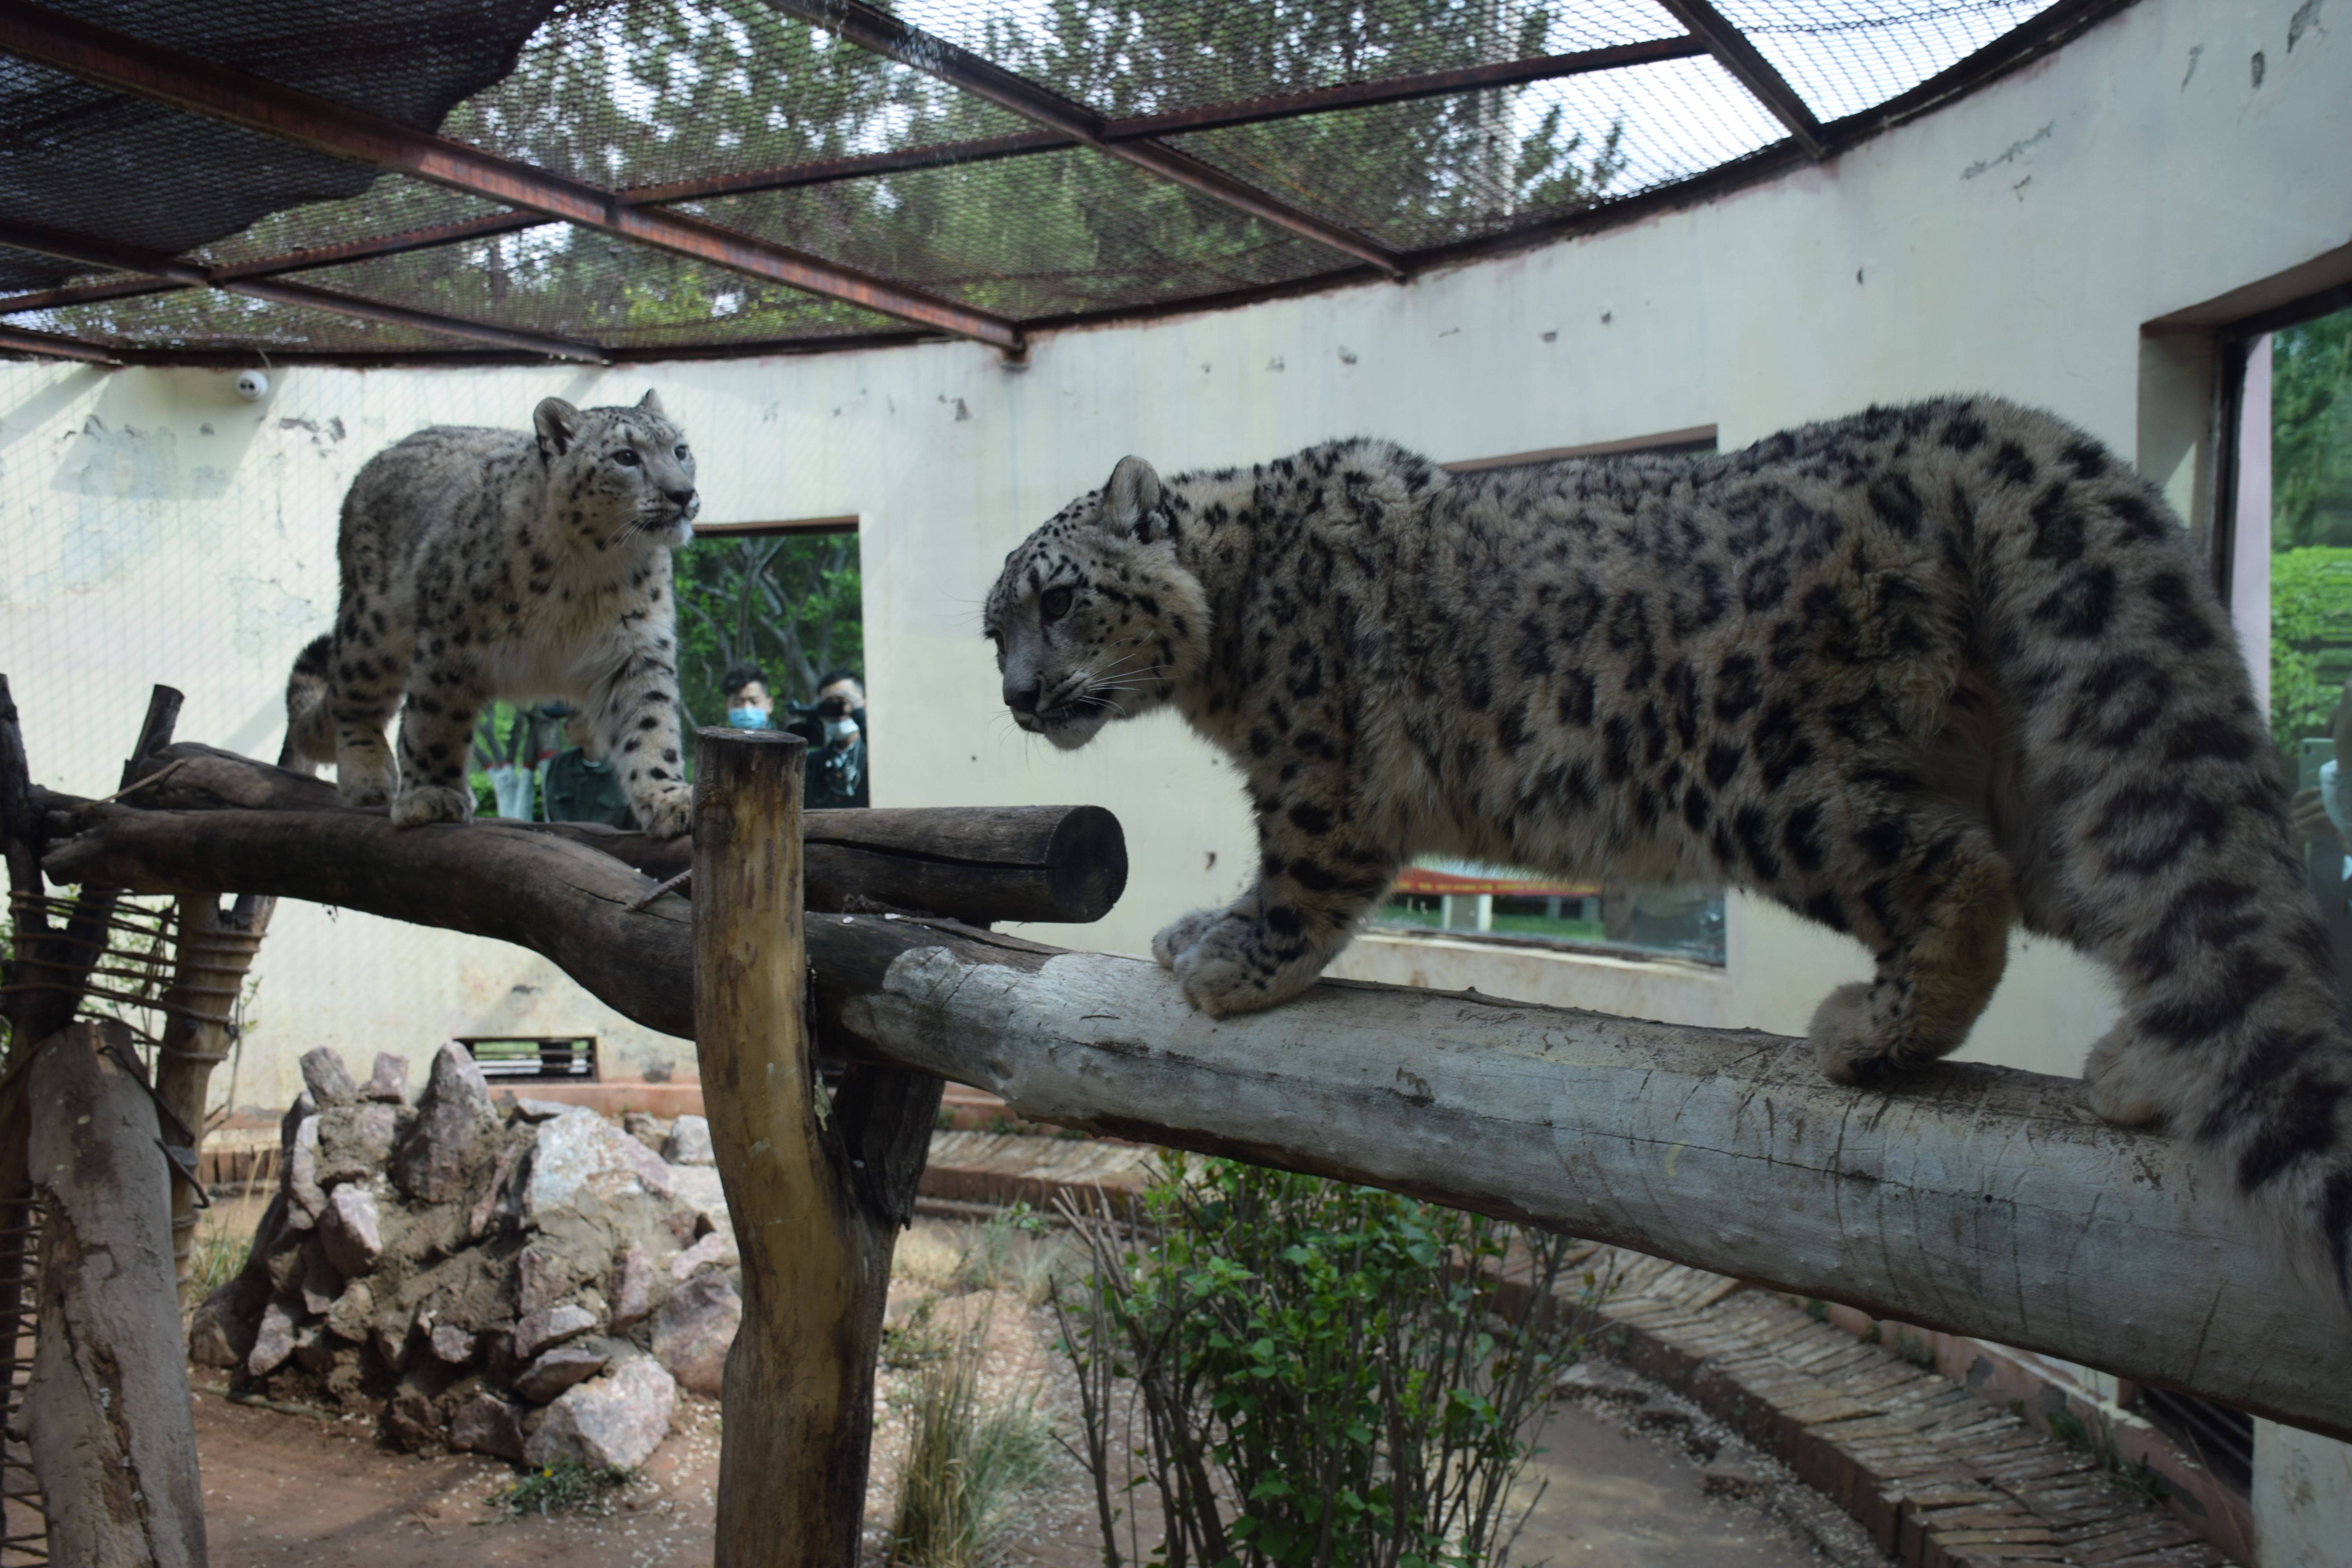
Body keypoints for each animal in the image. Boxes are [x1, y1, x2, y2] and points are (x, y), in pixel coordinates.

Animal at [286, 388, 696, 841]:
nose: (683, 493)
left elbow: (650, 725)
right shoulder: (448, 645)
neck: (590, 572)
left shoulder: (637, 649)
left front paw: (670, 798)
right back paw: (369, 778)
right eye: (626, 457)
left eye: (680, 450)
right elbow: (434, 723)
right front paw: (431, 795)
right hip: (372, 629)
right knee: (353, 695)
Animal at [983, 395, 2352, 1298]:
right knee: (2158, 895)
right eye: (994, 626)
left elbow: (1299, 877)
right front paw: (1189, 932)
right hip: (2047, 764)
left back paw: (1875, 1031)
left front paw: (1225, 959)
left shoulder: (1316, 774)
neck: (1220, 655)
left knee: (1962, 876)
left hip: (1766, 776)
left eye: (1060, 598)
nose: (1019, 697)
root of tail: (1968, 423)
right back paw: (2142, 1064)